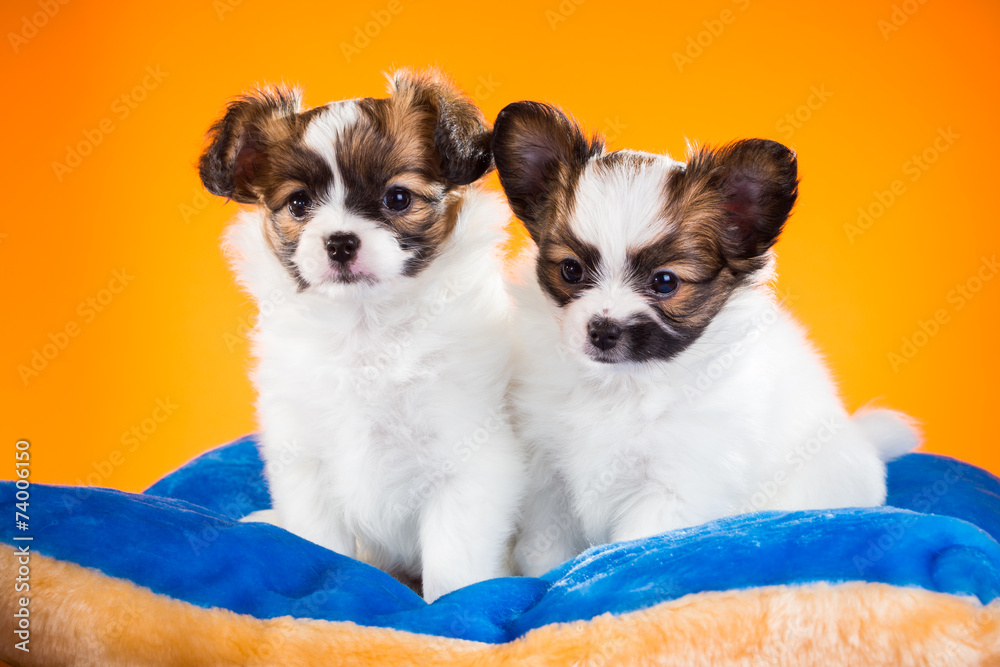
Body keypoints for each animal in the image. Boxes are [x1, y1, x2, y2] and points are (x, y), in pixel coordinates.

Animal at [195, 70, 524, 604]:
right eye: (299, 204)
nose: (340, 242)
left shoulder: (469, 460)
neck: (365, 329)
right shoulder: (305, 459)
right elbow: (321, 546)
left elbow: (454, 567)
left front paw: (448, 607)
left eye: (398, 198)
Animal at [488, 102, 916, 576]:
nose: (602, 330)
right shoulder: (549, 477)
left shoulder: (674, 486)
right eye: (570, 270)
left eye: (665, 282)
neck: (621, 387)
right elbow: (545, 553)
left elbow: (631, 550)